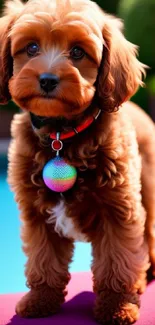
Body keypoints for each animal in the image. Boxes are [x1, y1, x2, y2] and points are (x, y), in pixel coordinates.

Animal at [0, 0, 155, 322]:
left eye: (78, 52)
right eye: (31, 47)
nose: (47, 79)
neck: (61, 135)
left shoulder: (118, 210)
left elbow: (117, 261)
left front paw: (116, 306)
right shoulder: (36, 215)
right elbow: (43, 260)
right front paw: (41, 300)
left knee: (146, 241)